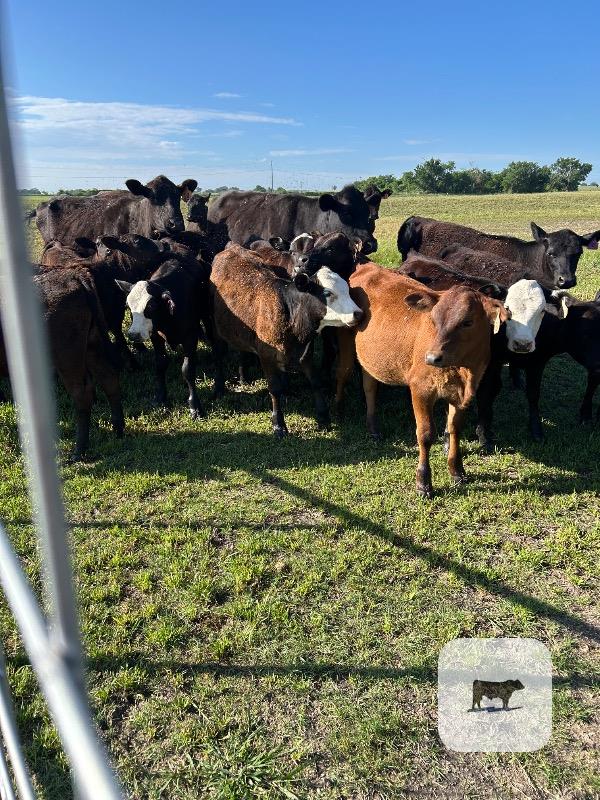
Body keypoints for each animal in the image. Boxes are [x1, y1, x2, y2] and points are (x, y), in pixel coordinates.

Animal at [116, 255, 211, 418]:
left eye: (151, 306)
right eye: (128, 306)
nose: (133, 334)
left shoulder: (190, 337)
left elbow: (187, 369)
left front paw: (195, 407)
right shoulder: (156, 336)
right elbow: (160, 364)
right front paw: (160, 398)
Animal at [210, 244, 363, 436]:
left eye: (347, 290)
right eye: (328, 293)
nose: (358, 313)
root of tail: (233, 247)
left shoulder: (306, 352)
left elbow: (315, 382)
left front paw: (323, 417)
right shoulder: (266, 355)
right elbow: (275, 389)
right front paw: (279, 424)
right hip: (214, 328)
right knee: (218, 355)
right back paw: (219, 388)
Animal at [334, 262, 509, 497]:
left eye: (467, 322)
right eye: (433, 320)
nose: (432, 357)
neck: (463, 372)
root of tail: (366, 265)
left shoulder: (463, 395)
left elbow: (454, 429)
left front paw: (457, 471)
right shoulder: (420, 389)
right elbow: (425, 435)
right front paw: (423, 482)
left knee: (369, 385)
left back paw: (373, 428)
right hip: (344, 339)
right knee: (342, 373)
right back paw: (337, 411)